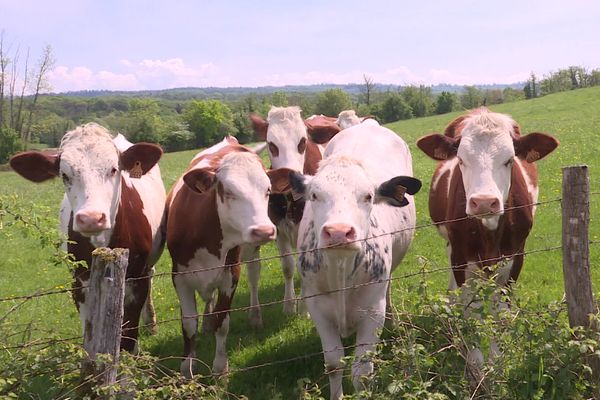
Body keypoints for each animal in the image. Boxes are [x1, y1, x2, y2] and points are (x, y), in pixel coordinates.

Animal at [9, 122, 164, 354]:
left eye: (113, 169)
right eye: (65, 175)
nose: (91, 218)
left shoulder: (138, 278)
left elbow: (129, 337)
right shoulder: (79, 283)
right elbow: (89, 335)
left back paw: (151, 324)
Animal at [165, 136, 292, 376]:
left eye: (268, 190)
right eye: (229, 191)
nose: (263, 230)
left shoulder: (230, 273)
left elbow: (222, 321)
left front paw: (220, 367)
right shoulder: (179, 276)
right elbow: (188, 324)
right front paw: (187, 369)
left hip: (250, 253)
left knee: (253, 277)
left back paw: (255, 315)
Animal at [245, 106, 342, 324]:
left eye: (303, 141)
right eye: (271, 145)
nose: (291, 177)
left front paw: (305, 308)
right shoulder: (279, 230)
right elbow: (288, 266)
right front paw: (289, 305)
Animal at [288, 119, 420, 400]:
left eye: (368, 196)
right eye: (314, 195)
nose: (338, 232)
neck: (340, 270)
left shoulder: (372, 311)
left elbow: (362, 372)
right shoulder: (318, 308)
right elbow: (334, 364)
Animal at [414, 106, 560, 372]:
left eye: (509, 159)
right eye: (461, 160)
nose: (483, 202)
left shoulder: (516, 257)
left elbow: (499, 310)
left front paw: (497, 358)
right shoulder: (461, 256)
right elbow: (470, 309)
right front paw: (475, 362)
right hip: (451, 247)